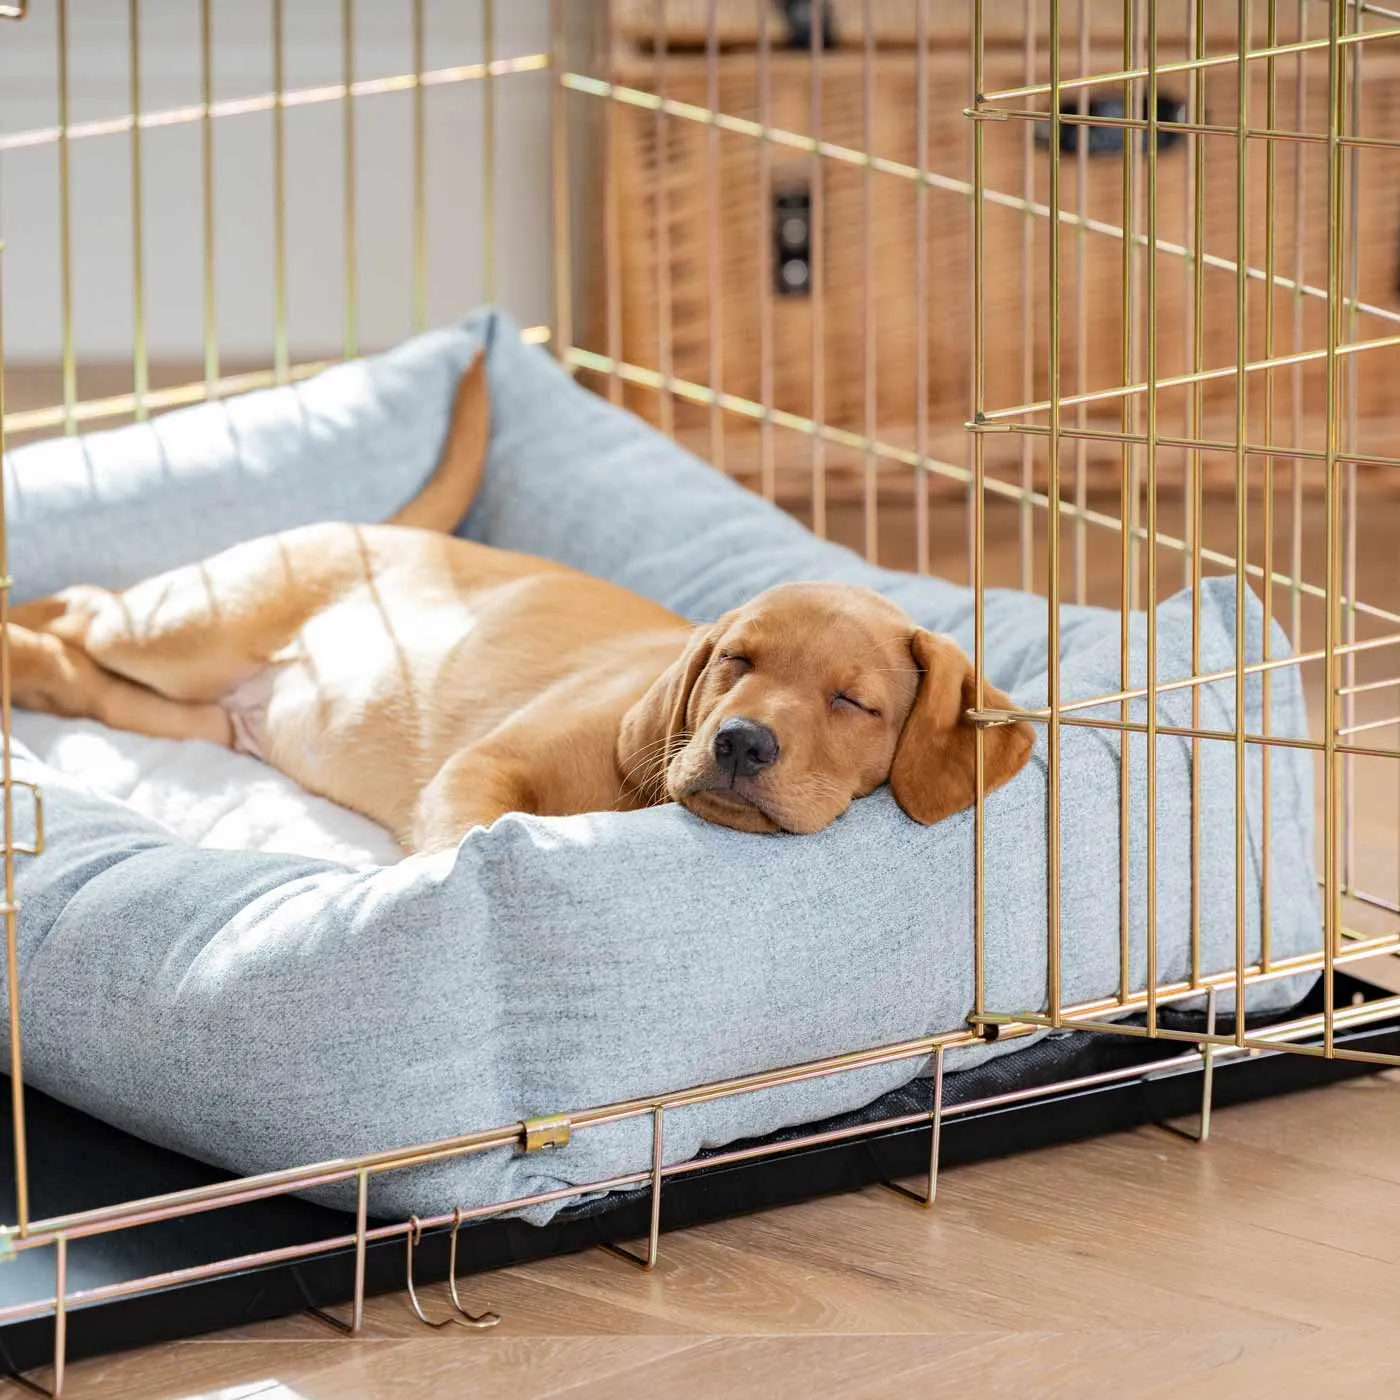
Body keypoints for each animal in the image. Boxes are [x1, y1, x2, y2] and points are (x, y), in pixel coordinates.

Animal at [5, 355, 1036, 851]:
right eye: (735, 661)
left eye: (854, 703)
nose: (742, 743)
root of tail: (375, 527)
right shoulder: (483, 765)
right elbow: (468, 838)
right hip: (184, 632)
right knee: (84, 603)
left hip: (191, 711)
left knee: (75, 672)